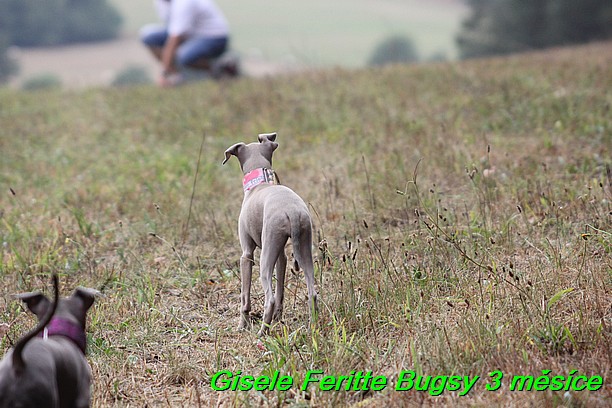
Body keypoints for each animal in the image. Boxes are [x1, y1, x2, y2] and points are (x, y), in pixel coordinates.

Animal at [224, 133, 318, 334]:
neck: (260, 184)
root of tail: (292, 211)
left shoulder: (246, 255)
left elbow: (245, 297)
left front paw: (241, 325)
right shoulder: (281, 256)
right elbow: (281, 289)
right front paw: (278, 318)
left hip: (265, 257)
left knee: (270, 299)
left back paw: (262, 332)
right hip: (304, 244)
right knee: (312, 292)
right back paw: (312, 326)